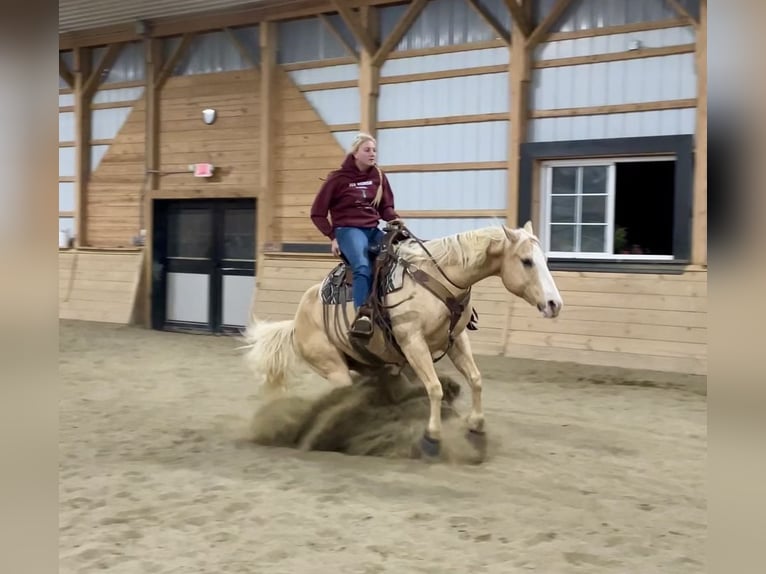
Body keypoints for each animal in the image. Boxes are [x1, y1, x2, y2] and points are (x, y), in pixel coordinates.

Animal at [242, 221, 563, 457]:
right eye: (526, 261)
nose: (554, 304)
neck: (438, 277)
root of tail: (297, 321)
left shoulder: (456, 340)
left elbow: (475, 378)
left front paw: (475, 426)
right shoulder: (413, 342)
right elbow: (434, 388)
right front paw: (432, 438)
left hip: (373, 364)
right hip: (334, 367)